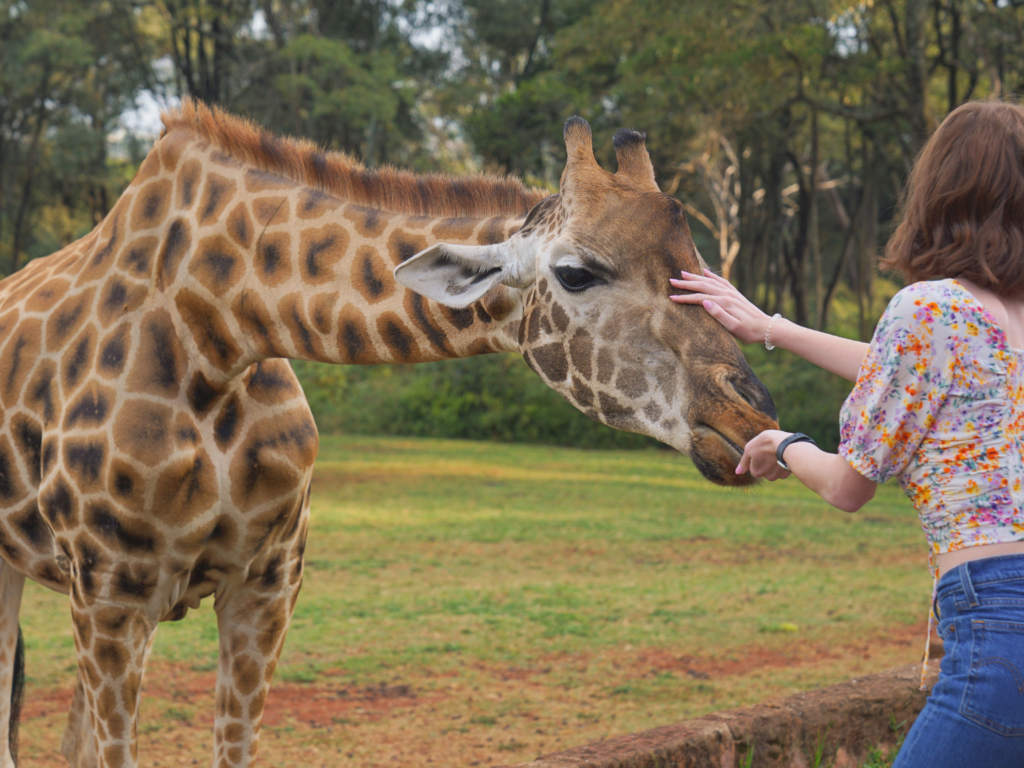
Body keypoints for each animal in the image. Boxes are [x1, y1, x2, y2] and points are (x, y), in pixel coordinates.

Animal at [0, 102, 774, 768]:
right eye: (577, 273)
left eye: (702, 265)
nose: (751, 419)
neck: (218, 330)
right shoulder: (111, 596)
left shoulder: (267, 585)